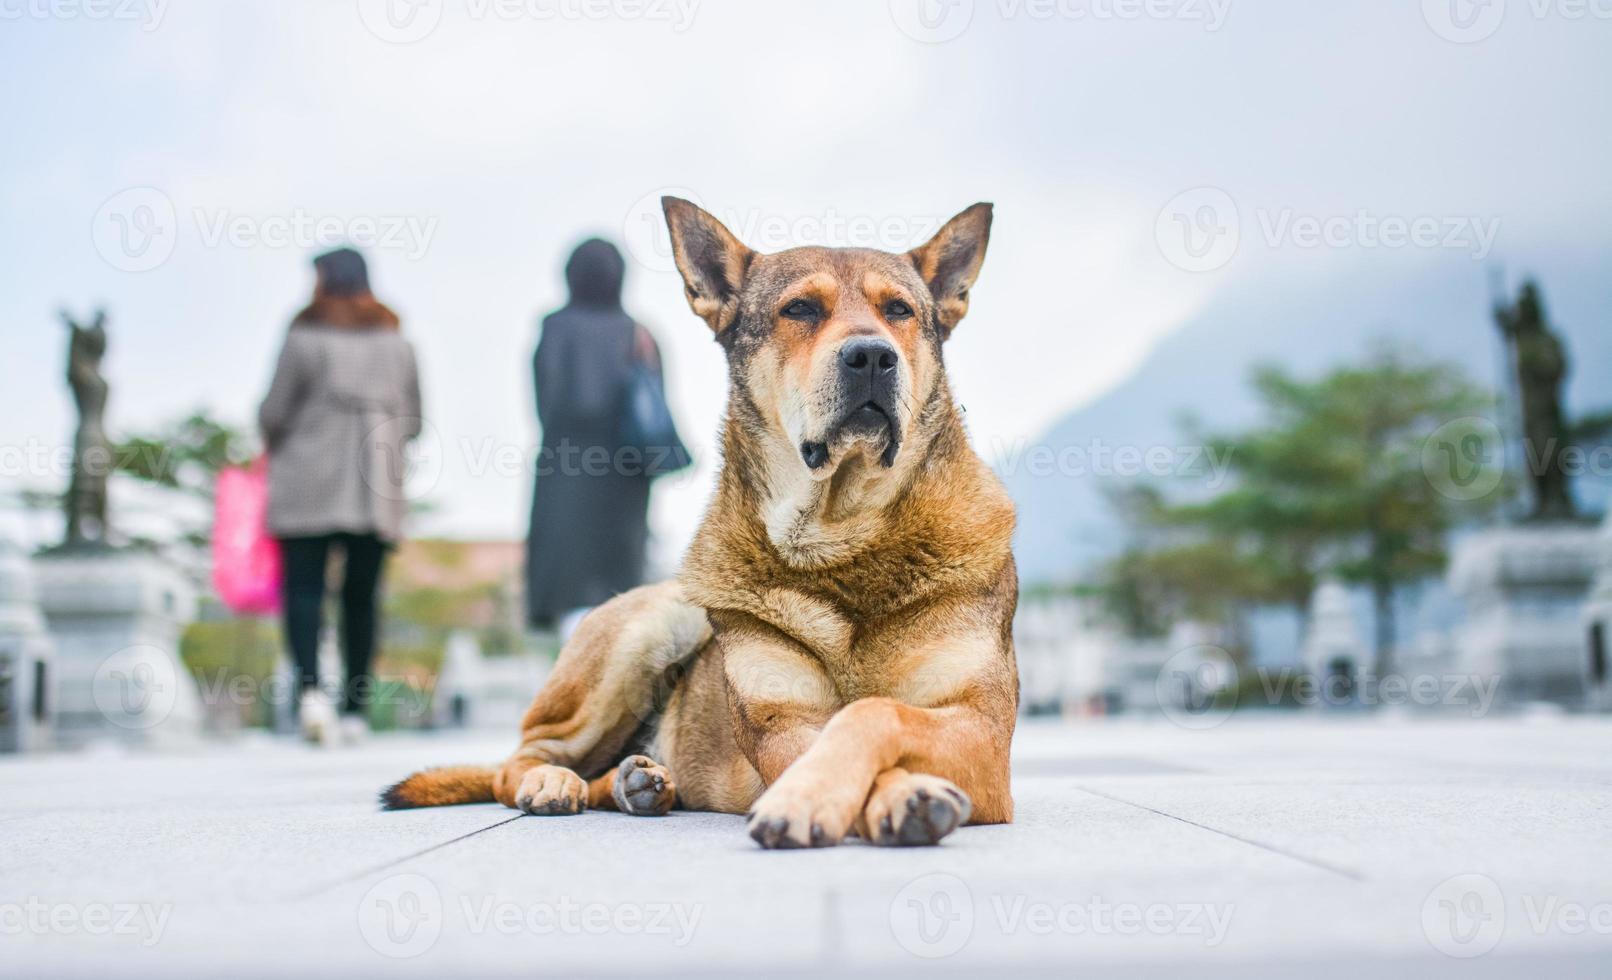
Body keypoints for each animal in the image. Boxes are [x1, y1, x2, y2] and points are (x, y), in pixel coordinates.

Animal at [382, 197, 1012, 844]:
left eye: (899, 311)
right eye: (800, 309)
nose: (872, 355)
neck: (842, 533)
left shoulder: (982, 732)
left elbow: (872, 711)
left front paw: (888, 796)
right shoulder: (779, 720)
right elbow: (845, 728)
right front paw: (838, 795)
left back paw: (637, 783)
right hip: (652, 626)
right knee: (521, 756)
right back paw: (553, 782)